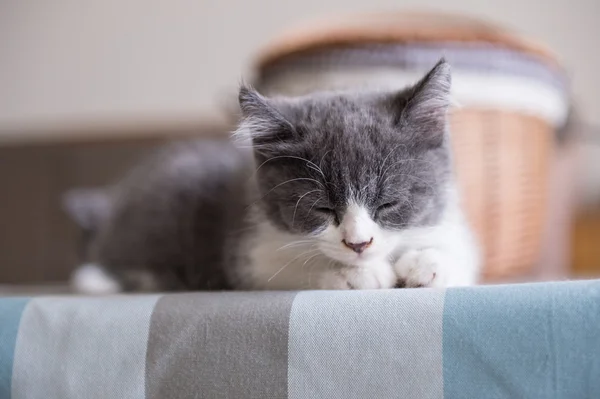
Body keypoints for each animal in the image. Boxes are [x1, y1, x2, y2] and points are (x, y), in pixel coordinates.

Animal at [64, 58, 478, 294]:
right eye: (321, 208)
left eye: (389, 203)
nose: (358, 244)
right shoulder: (246, 248)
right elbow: (280, 266)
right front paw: (353, 274)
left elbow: (462, 252)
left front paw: (430, 263)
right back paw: (99, 278)